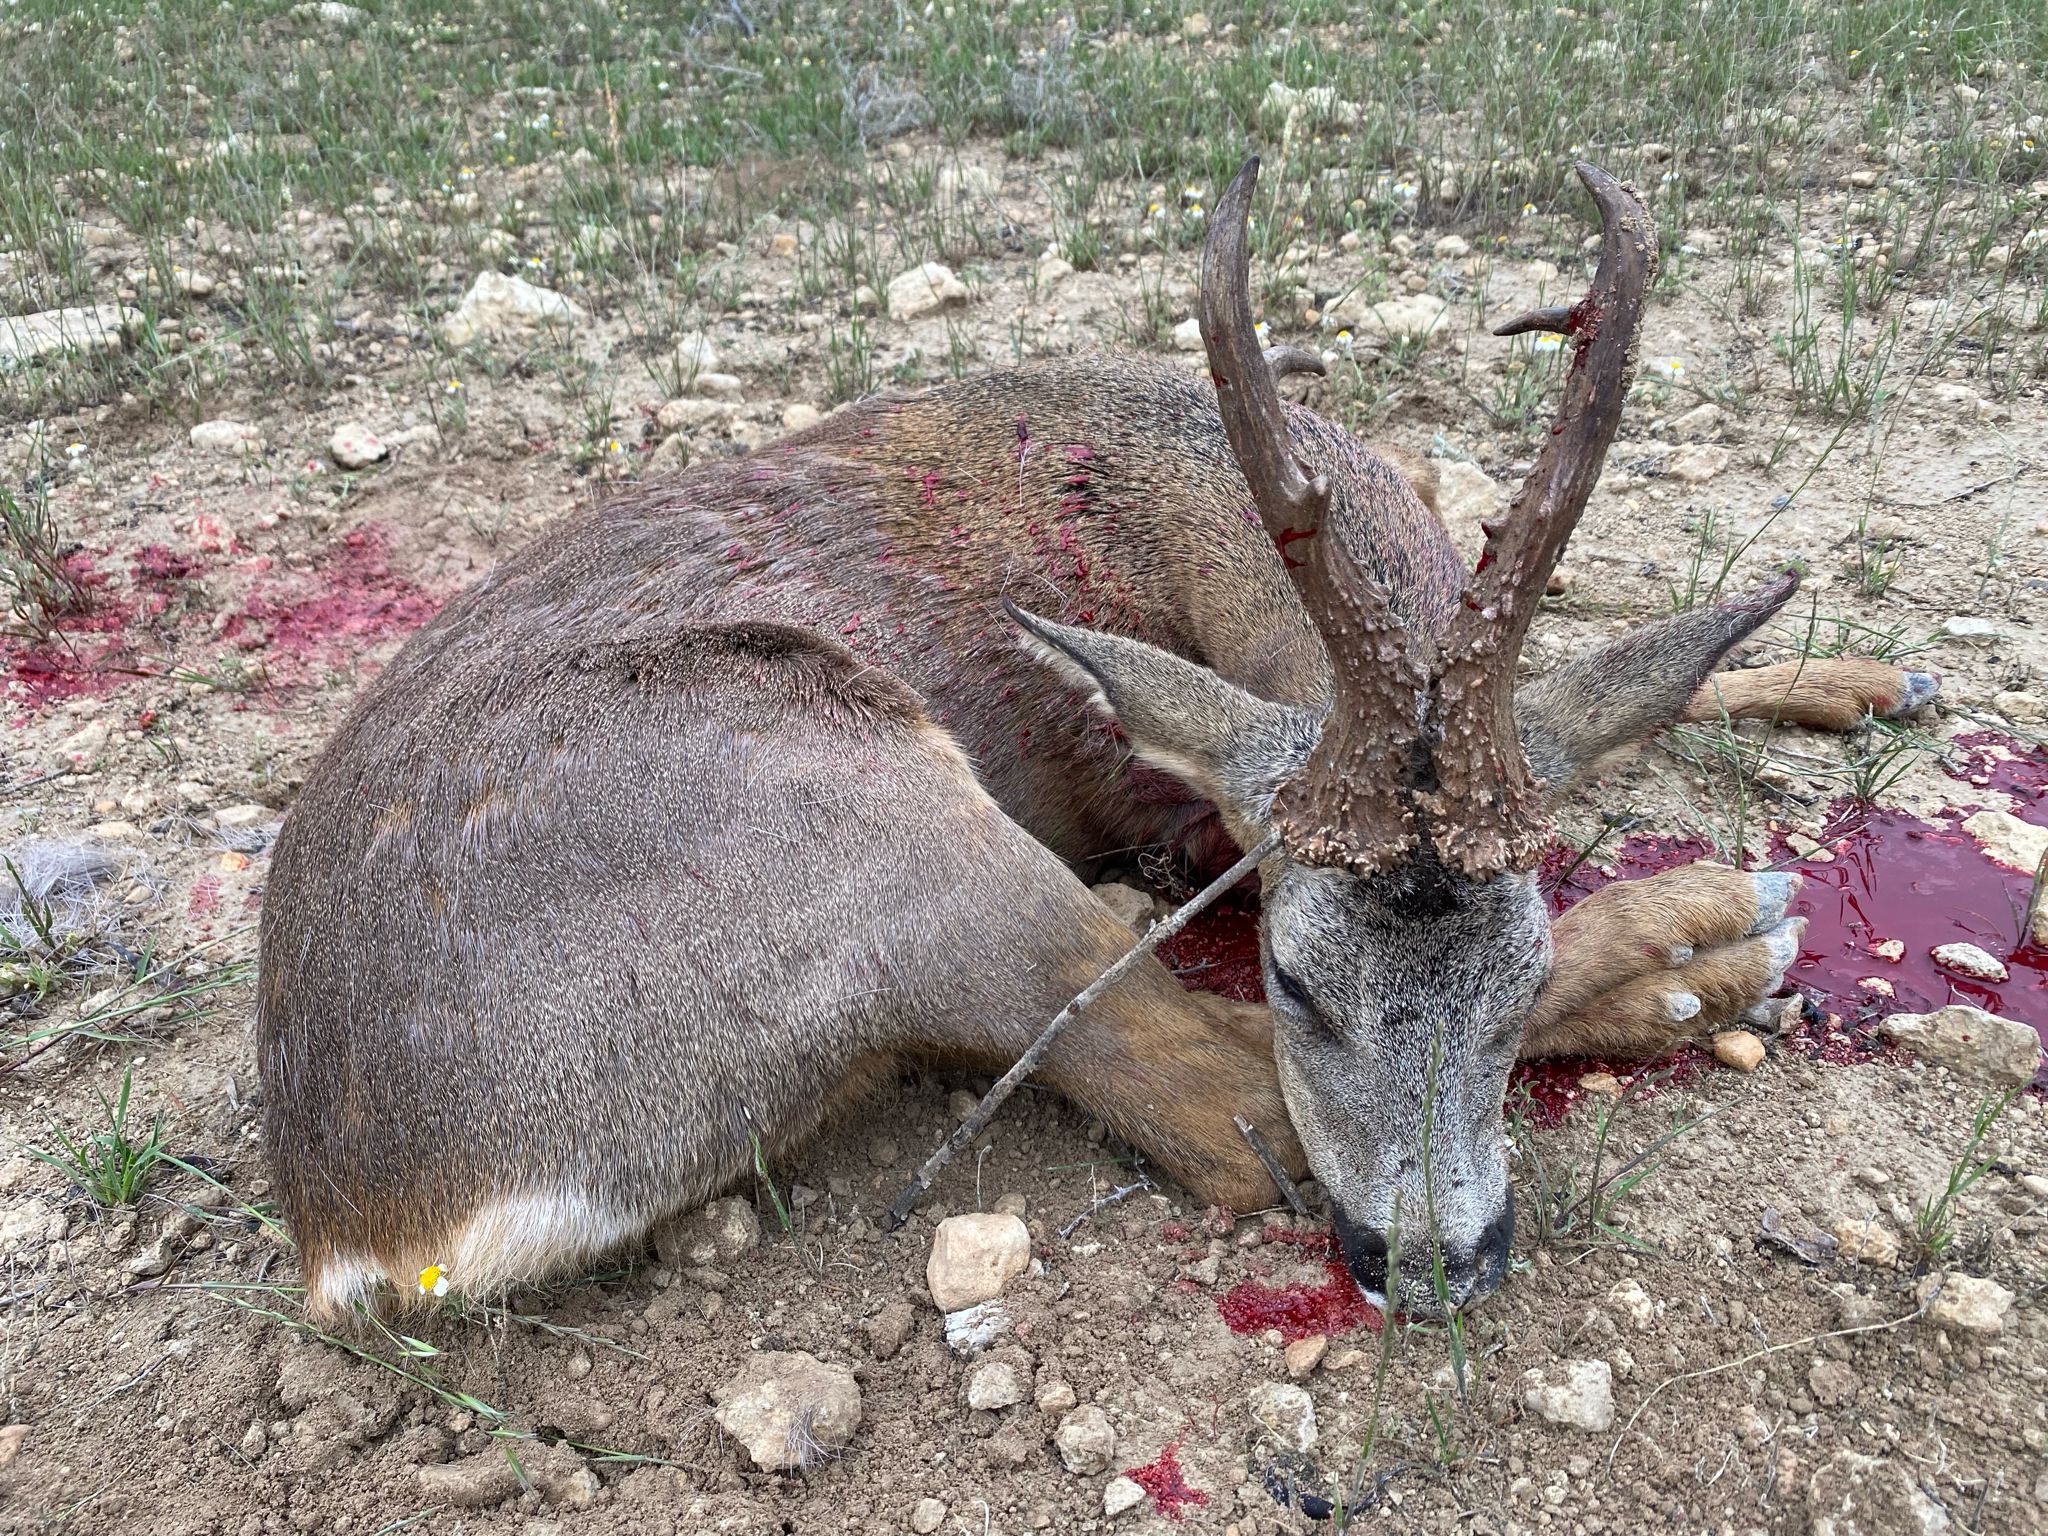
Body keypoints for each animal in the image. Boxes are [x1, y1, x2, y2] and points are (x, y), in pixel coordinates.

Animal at [257, 159, 1937, 1320]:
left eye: (1509, 979)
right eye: (1297, 974)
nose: (1435, 1264)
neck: (1183, 484)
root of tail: (363, 1233)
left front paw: (1862, 676)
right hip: (860, 799)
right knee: (1208, 1099)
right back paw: (1721, 937)